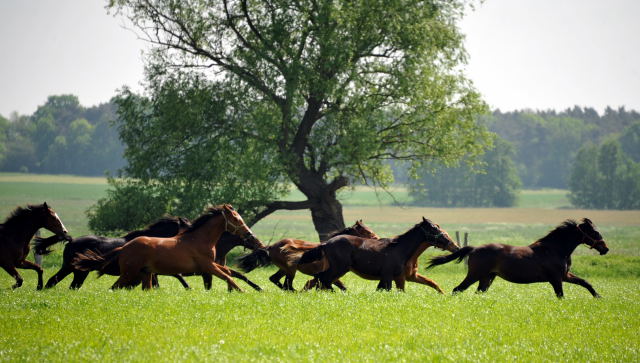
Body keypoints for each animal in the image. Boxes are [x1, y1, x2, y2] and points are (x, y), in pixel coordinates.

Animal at [74, 205, 264, 292]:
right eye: (237, 219)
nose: (250, 234)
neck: (200, 239)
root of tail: (125, 247)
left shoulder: (210, 265)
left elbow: (229, 272)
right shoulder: (207, 266)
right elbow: (227, 275)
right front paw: (242, 291)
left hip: (145, 274)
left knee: (145, 288)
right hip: (129, 273)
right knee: (114, 287)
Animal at [239, 220, 380, 292]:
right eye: (367, 231)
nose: (377, 239)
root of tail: (271, 247)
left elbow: (338, 286)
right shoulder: (324, 274)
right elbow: (326, 284)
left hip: (284, 269)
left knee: (275, 279)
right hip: (290, 270)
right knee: (287, 284)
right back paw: (293, 292)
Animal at [298, 218, 458, 292]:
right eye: (434, 229)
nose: (454, 246)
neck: (400, 249)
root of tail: (326, 244)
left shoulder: (402, 277)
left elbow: (432, 283)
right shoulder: (391, 277)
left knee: (321, 281)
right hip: (339, 268)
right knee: (323, 280)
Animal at [428, 219, 608, 298]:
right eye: (595, 232)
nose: (605, 249)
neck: (554, 249)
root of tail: (474, 248)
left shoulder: (564, 276)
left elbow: (585, 282)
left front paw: (598, 296)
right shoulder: (556, 278)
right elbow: (561, 295)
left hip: (487, 277)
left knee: (478, 292)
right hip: (475, 274)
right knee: (457, 289)